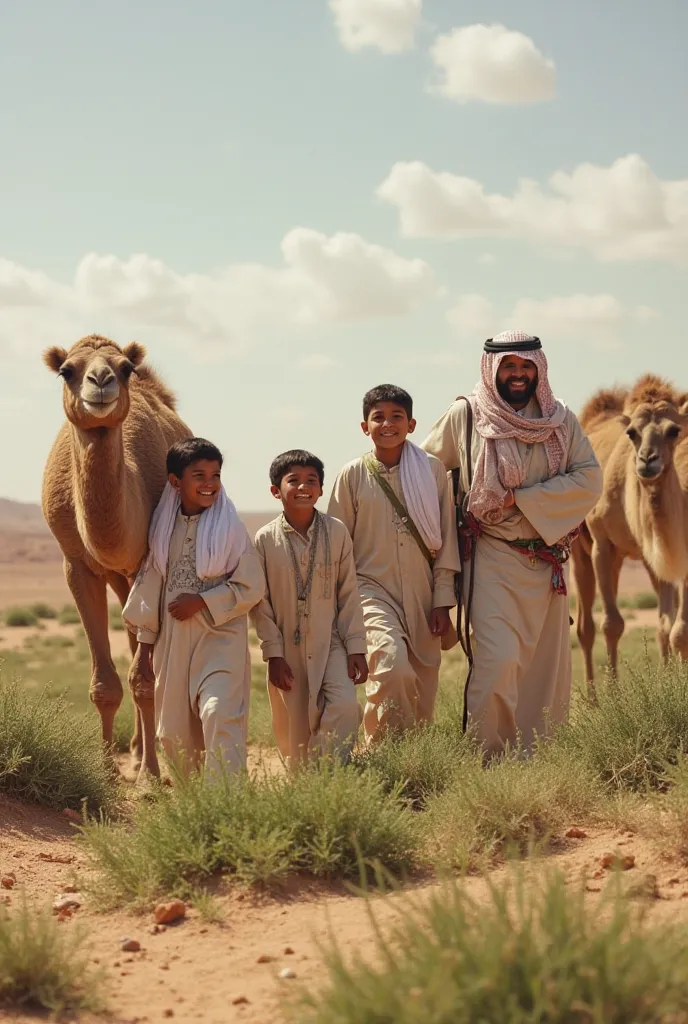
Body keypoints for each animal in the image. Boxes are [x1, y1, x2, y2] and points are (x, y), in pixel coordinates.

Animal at [41, 331, 190, 778]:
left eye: (125, 368)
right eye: (66, 370)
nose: (101, 381)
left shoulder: (152, 565)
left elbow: (145, 678)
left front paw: (150, 776)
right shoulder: (77, 566)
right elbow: (104, 683)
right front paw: (106, 771)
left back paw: (145, 758)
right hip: (117, 578)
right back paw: (137, 752)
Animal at [569, 376, 688, 688]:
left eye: (674, 430)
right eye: (632, 432)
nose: (647, 460)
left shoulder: (665, 552)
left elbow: (672, 626)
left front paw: (671, 684)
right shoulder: (601, 542)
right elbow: (611, 624)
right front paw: (613, 694)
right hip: (580, 551)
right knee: (585, 626)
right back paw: (594, 695)